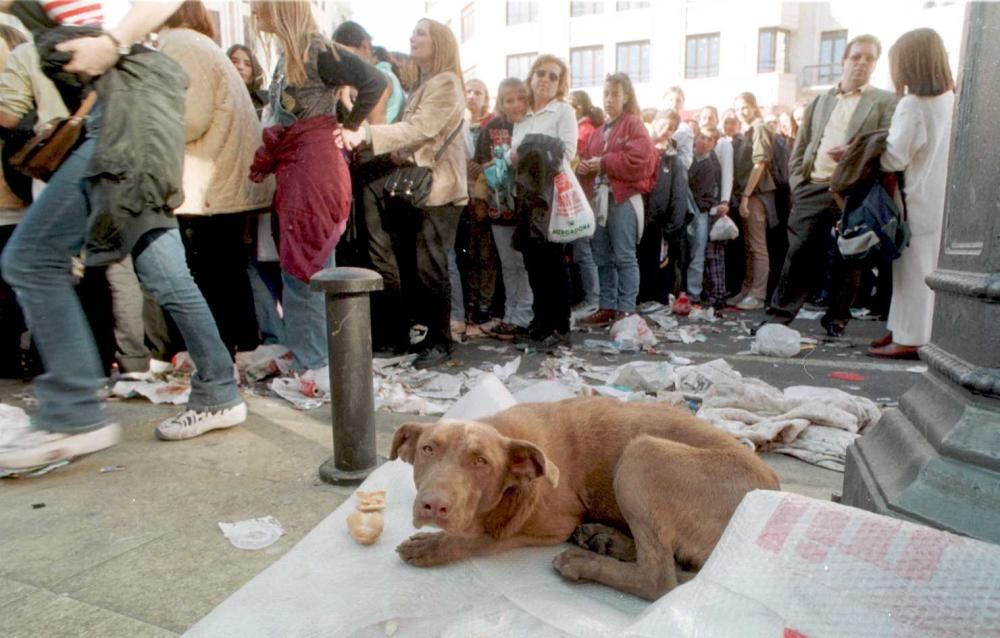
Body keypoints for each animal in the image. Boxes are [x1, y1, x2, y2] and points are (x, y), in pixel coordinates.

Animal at [390, 398, 780, 604]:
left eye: (481, 462)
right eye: (427, 449)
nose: (432, 506)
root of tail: (774, 490)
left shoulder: (555, 524)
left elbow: (483, 538)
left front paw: (433, 545)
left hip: (641, 455)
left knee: (659, 578)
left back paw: (585, 561)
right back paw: (607, 541)